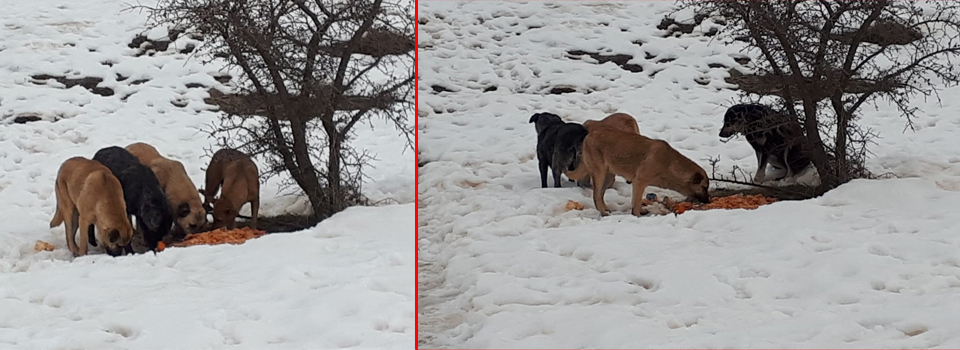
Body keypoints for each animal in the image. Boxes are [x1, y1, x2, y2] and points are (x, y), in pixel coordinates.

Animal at [564, 123, 712, 216]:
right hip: (600, 173)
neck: (669, 164)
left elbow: (637, 200)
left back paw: (606, 208)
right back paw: (603, 212)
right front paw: (637, 214)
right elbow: (636, 200)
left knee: (600, 194)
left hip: (609, 176)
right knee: (596, 196)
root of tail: (588, 136)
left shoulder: (640, 184)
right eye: (704, 187)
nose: (708, 201)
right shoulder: (639, 182)